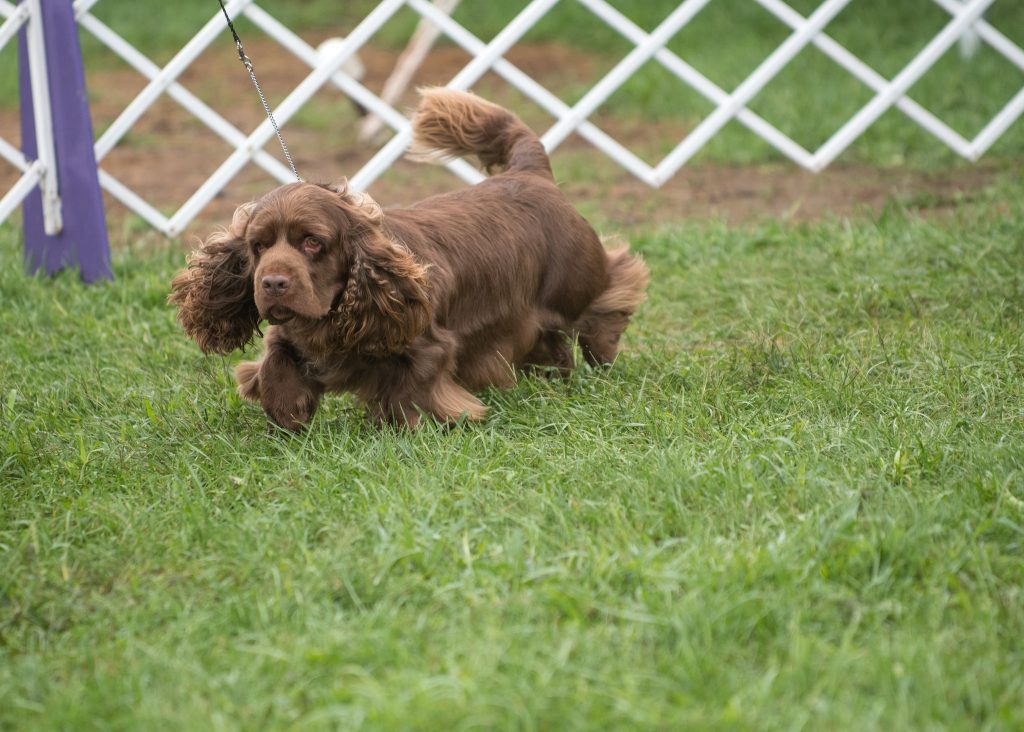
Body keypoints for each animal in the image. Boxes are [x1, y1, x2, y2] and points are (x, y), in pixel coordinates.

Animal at [167, 88, 647, 429]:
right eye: (258, 246)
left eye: (313, 243)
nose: (272, 284)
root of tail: (532, 173)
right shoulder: (291, 334)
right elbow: (274, 363)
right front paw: (287, 412)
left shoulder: (427, 345)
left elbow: (407, 391)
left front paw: (408, 428)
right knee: (552, 346)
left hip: (575, 283)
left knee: (611, 292)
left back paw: (602, 353)